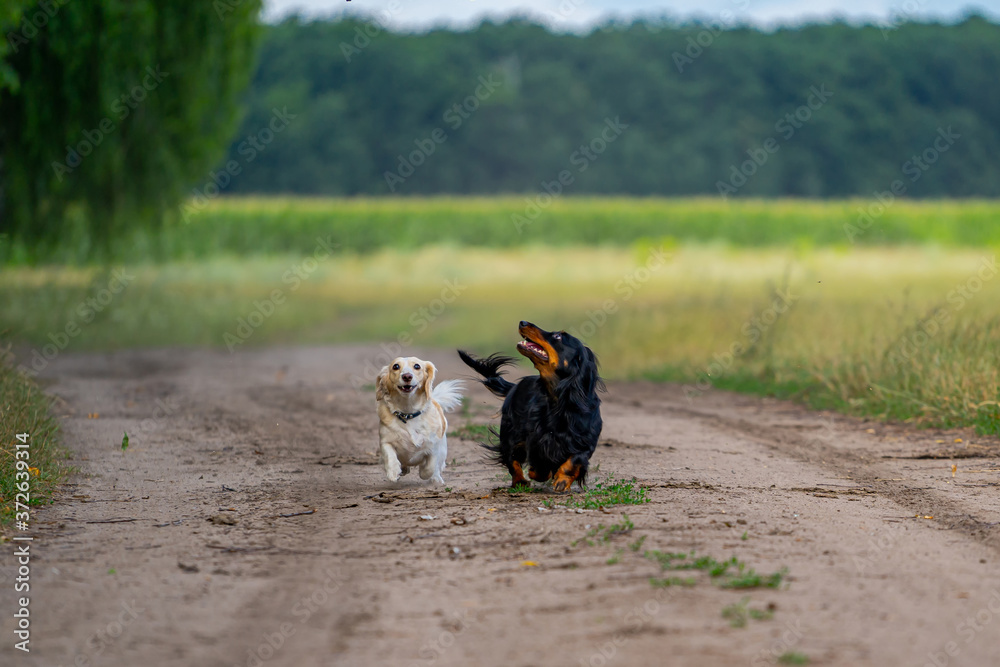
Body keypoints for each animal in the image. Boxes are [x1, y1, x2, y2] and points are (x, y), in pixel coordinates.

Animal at [376, 354, 462, 486]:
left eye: (417, 366)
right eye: (396, 366)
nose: (407, 376)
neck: (408, 413)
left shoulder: (433, 445)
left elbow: (430, 466)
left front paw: (424, 472)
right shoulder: (386, 441)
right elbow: (390, 455)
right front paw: (393, 472)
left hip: (443, 449)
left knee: (437, 466)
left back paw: (436, 479)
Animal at [458, 320, 604, 494]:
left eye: (558, 336)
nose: (523, 322)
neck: (560, 402)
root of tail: (514, 387)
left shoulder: (584, 443)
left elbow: (574, 461)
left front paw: (562, 481)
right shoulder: (537, 440)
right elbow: (539, 462)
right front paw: (537, 472)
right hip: (510, 433)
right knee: (512, 459)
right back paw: (520, 481)